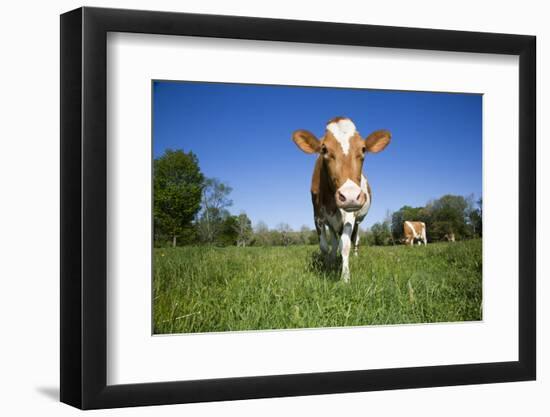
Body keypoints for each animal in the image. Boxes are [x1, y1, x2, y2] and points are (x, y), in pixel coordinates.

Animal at [294, 115, 392, 282]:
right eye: (324, 149)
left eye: (363, 149)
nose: (350, 196)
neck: (331, 202)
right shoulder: (317, 215)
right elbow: (325, 246)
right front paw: (328, 266)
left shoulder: (350, 214)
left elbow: (345, 245)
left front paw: (345, 277)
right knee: (334, 241)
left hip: (358, 221)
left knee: (355, 240)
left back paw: (354, 257)